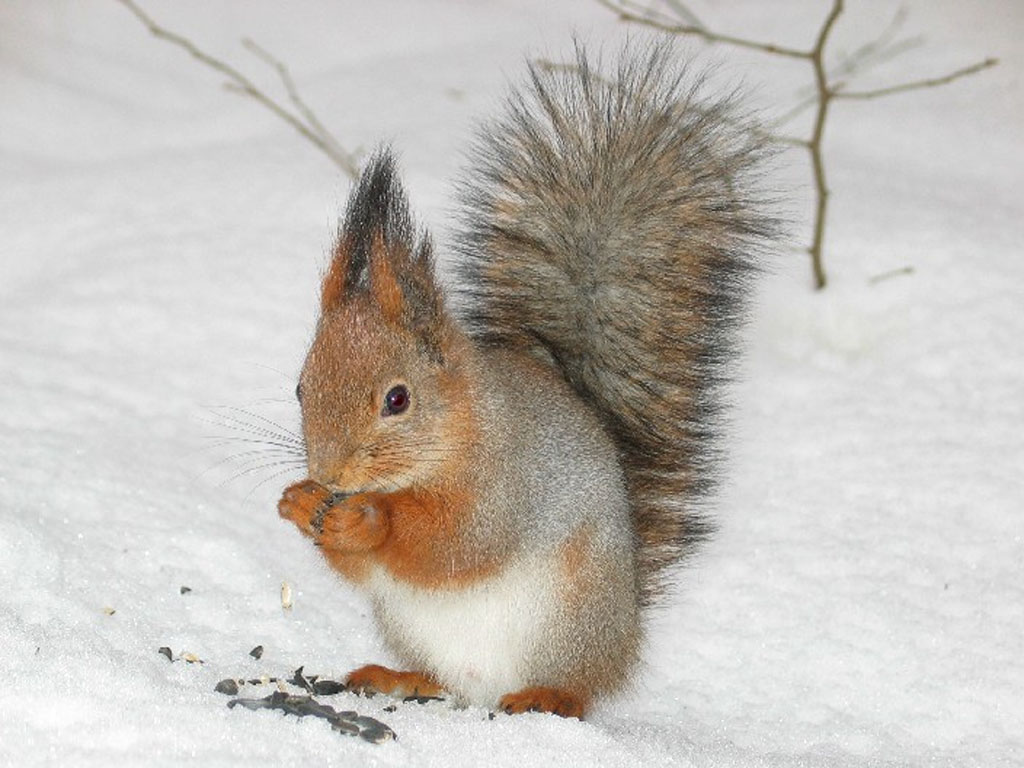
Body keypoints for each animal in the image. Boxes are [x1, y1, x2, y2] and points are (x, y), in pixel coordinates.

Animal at [276, 43, 770, 720]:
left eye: (397, 399)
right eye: (300, 388)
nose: (328, 474)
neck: (456, 431)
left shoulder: (508, 484)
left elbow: (457, 546)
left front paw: (369, 518)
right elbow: (367, 569)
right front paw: (300, 502)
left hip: (572, 616)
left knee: (577, 689)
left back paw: (546, 696)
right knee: (445, 681)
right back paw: (399, 678)